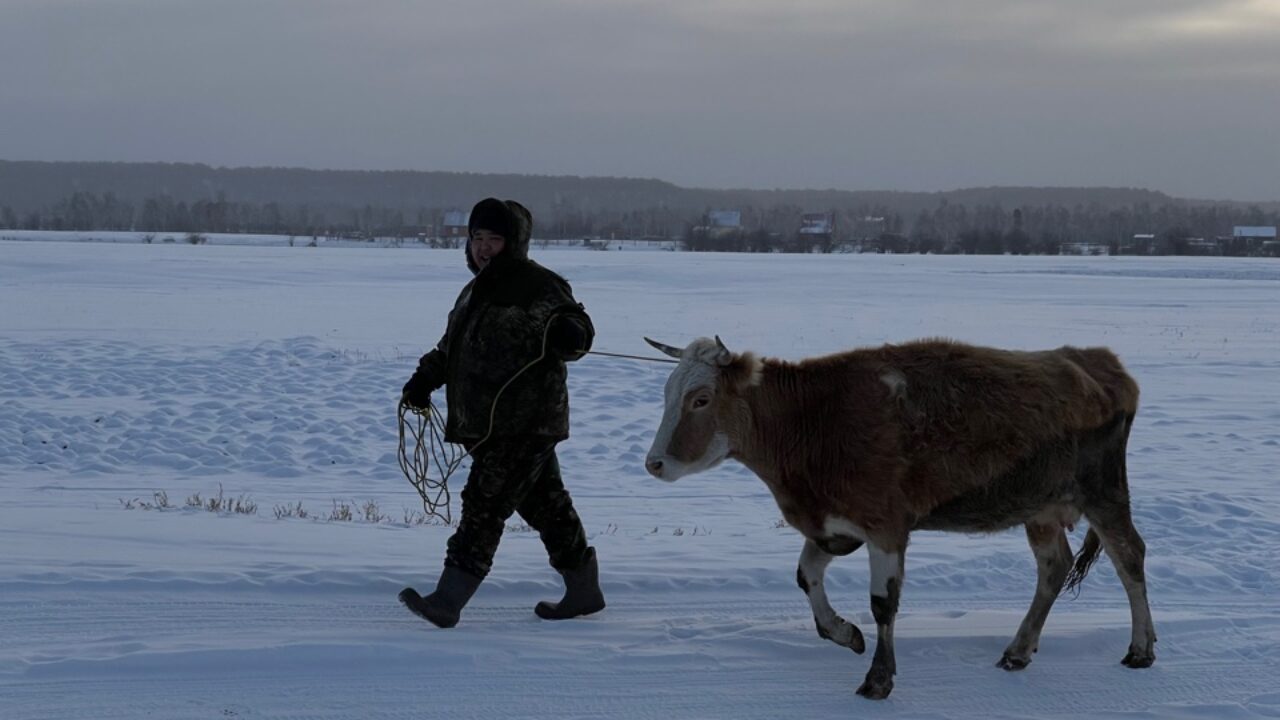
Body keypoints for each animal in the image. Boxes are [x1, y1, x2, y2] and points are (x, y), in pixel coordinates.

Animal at [645, 335, 1157, 696]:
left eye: (701, 398)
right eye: (667, 392)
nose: (654, 463)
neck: (814, 421)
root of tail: (1100, 363)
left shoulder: (885, 526)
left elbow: (882, 603)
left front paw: (878, 679)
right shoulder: (835, 525)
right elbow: (806, 576)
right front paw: (844, 633)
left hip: (1104, 492)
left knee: (1130, 557)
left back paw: (1140, 649)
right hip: (1041, 508)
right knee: (1054, 567)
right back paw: (1018, 651)